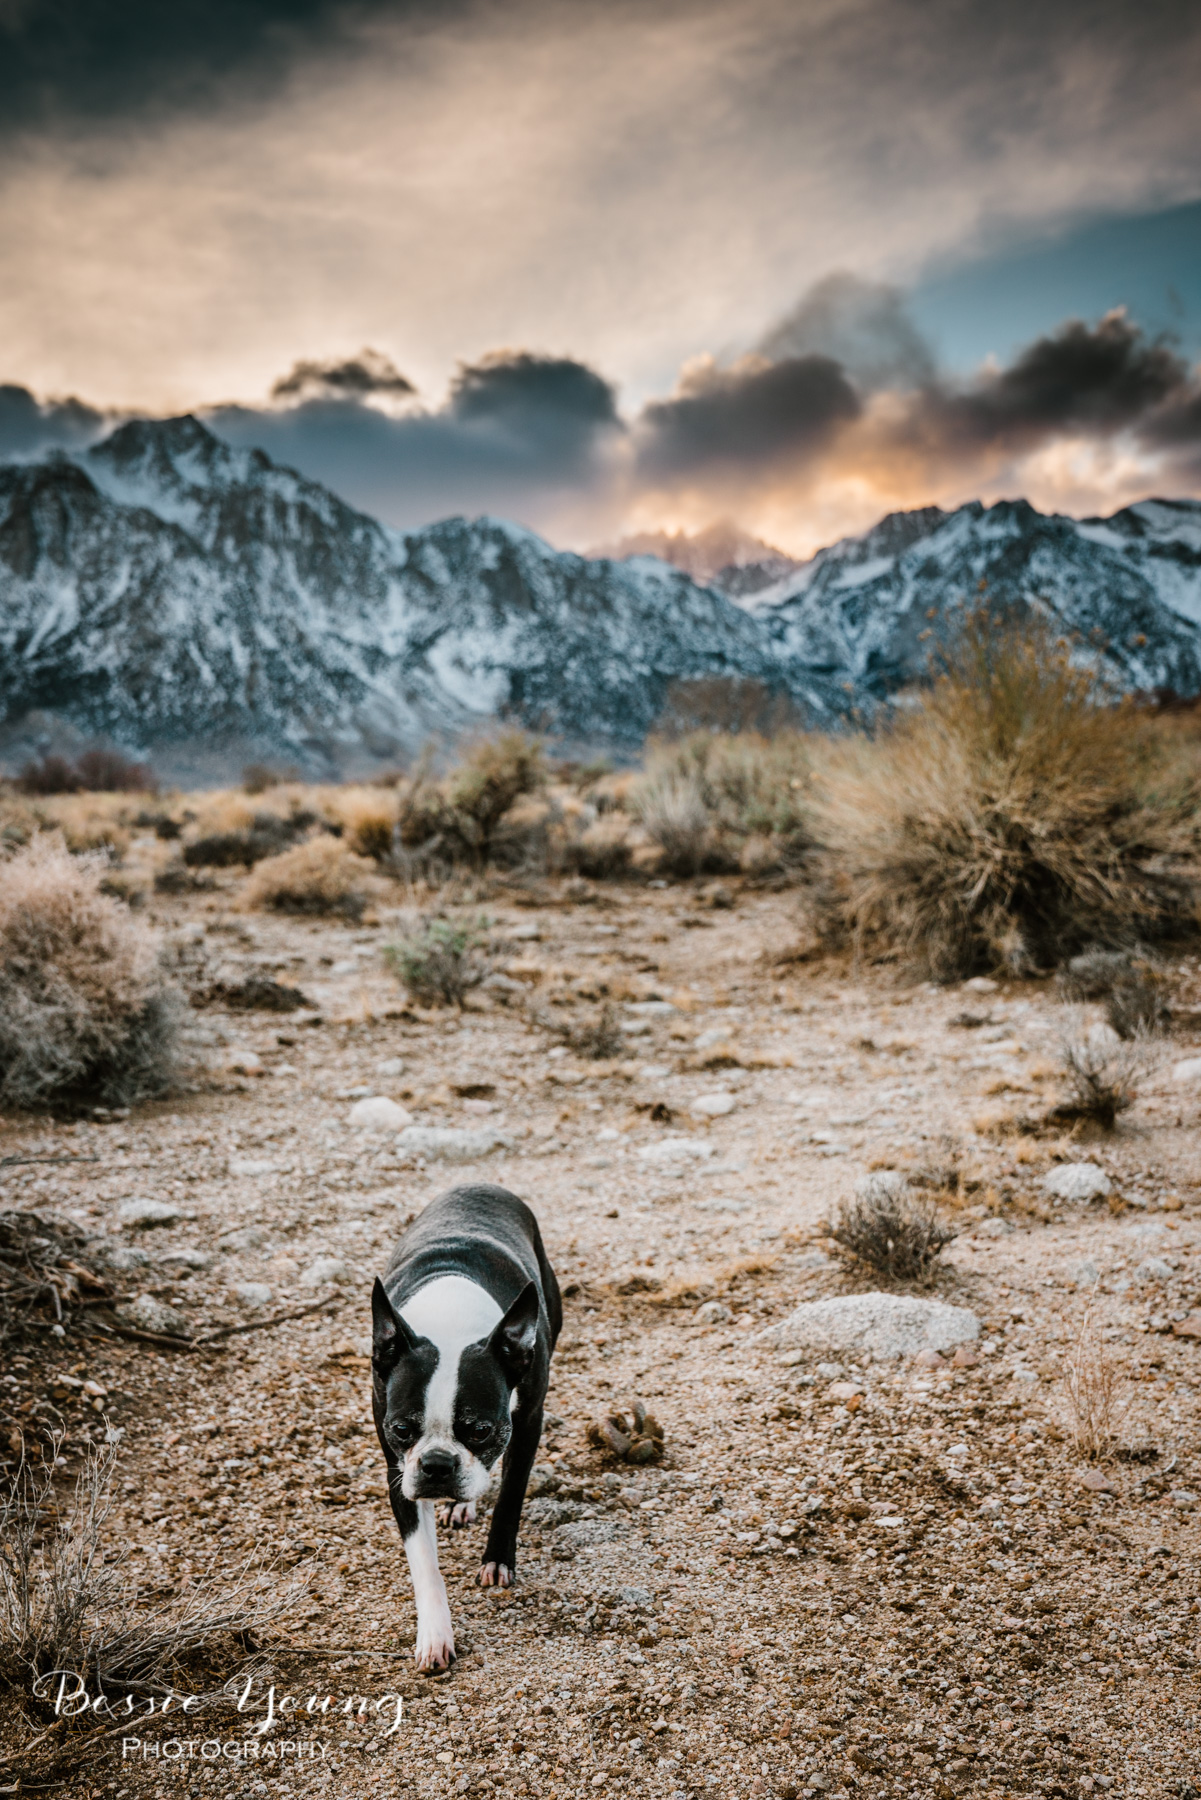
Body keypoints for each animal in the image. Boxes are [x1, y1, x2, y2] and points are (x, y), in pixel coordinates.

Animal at [369, 1180, 561, 1670]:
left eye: (480, 1431)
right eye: (402, 1429)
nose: (438, 1465)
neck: (450, 1326)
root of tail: (479, 1184)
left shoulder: (526, 1424)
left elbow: (510, 1494)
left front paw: (498, 1560)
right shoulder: (398, 1470)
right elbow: (423, 1562)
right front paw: (435, 1635)